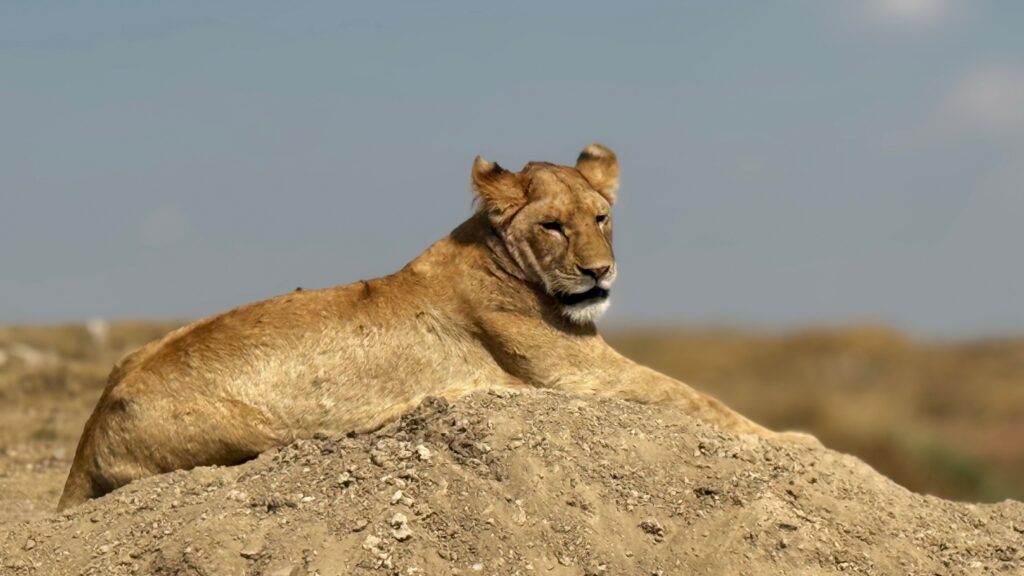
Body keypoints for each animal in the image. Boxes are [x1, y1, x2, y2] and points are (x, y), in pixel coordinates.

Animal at [58, 144, 812, 511]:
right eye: (552, 226)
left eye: (601, 217)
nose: (600, 273)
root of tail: (89, 425)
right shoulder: (580, 377)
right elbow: (694, 397)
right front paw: (799, 440)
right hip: (257, 434)